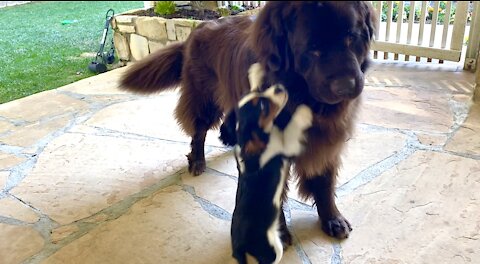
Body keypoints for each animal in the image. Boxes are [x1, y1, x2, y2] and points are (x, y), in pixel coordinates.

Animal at [120, 1, 376, 239]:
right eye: (312, 48)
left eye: (351, 37)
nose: (347, 86)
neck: (298, 97)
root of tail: (198, 28)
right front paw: (275, 234)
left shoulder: (327, 139)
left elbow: (324, 181)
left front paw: (332, 219)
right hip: (204, 98)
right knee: (199, 130)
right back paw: (198, 161)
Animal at [230, 63, 314, 262]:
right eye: (263, 106)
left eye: (260, 94)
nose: (279, 87)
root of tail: (238, 245)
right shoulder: (286, 145)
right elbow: (293, 126)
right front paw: (303, 111)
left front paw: (255, 72)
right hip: (271, 248)